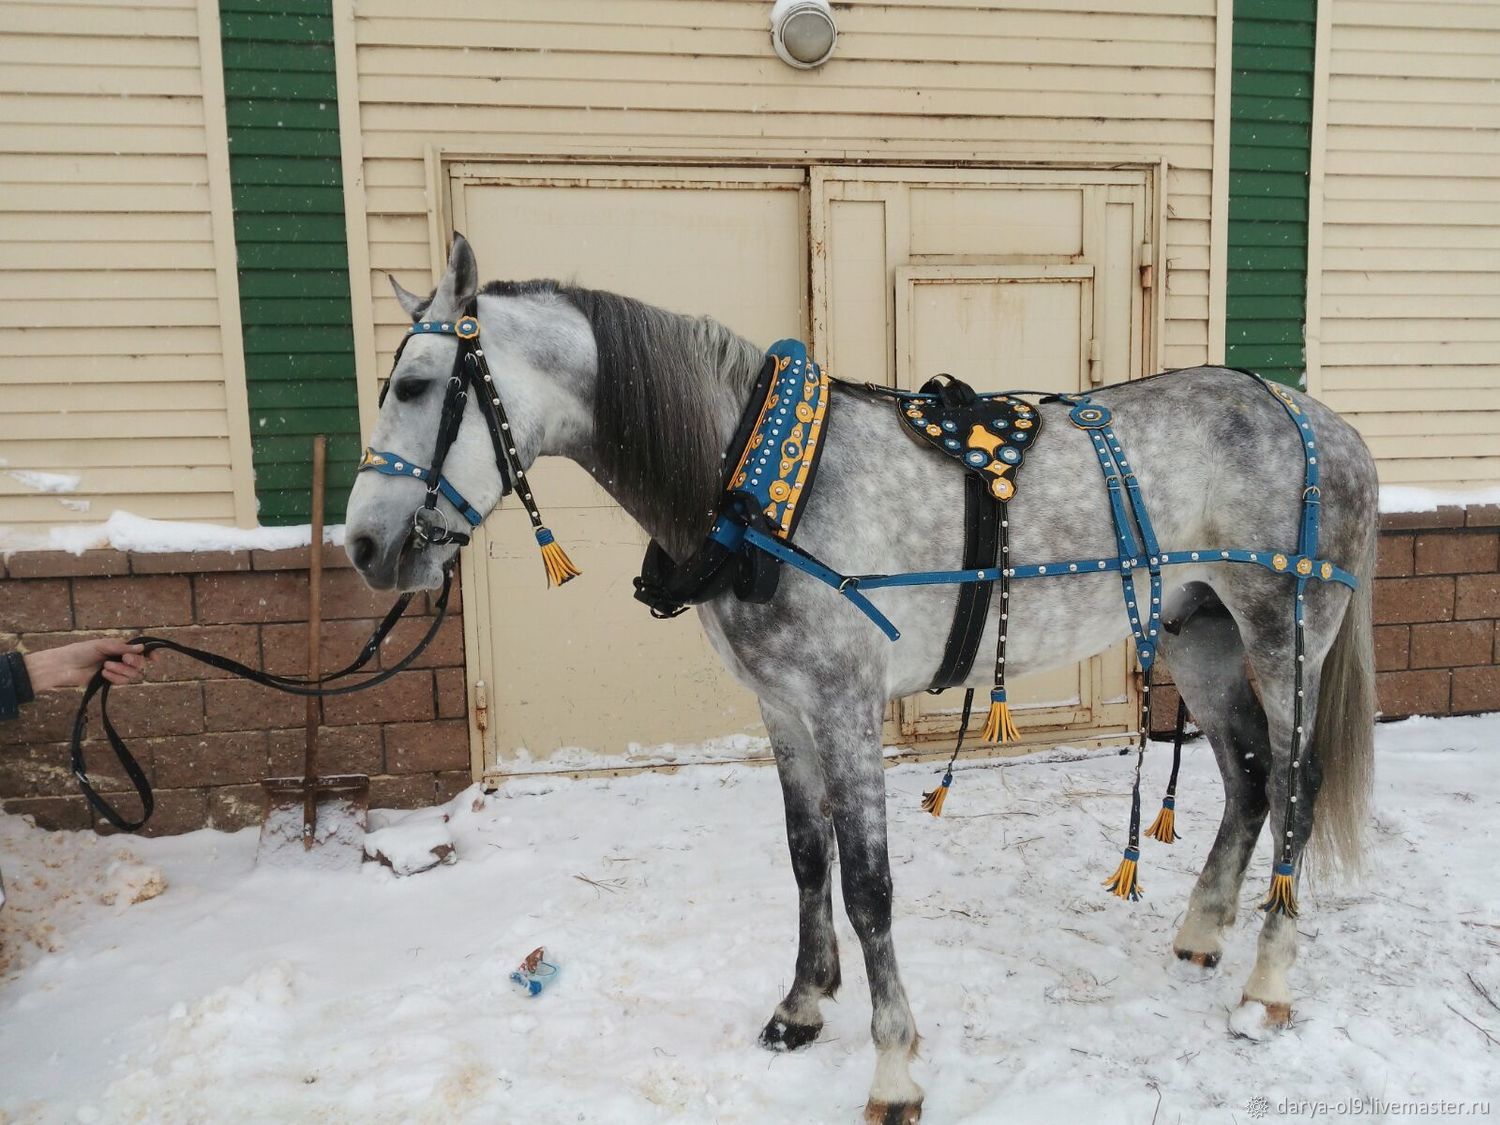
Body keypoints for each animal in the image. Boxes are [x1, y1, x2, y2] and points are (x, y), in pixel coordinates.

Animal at [345, 235, 1374, 1122]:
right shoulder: (783, 704)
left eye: (418, 384)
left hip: (1282, 637)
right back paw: (1203, 933)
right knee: (1247, 778)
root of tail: (1327, 425)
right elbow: (809, 856)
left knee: (1295, 784)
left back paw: (1266, 986)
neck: (762, 490)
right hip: (1199, 633)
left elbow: (870, 882)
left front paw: (893, 1069)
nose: (364, 547)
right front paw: (801, 1006)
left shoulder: (844, 702)